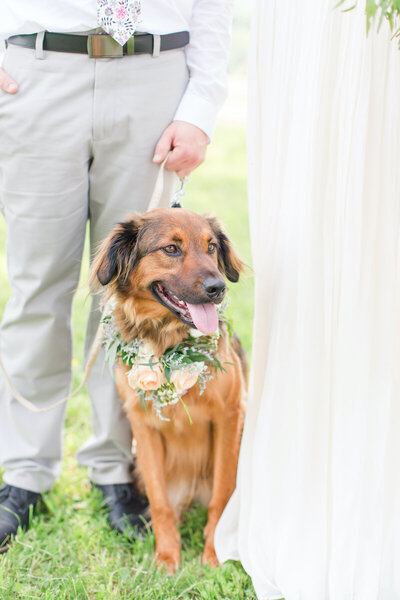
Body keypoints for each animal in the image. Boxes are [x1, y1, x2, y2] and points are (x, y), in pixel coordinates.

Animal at [91, 207, 247, 572]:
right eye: (171, 249)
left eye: (212, 247)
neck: (168, 341)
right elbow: (159, 501)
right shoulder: (142, 427)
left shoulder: (230, 416)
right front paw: (166, 557)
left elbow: (221, 495)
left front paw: (214, 554)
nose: (218, 288)